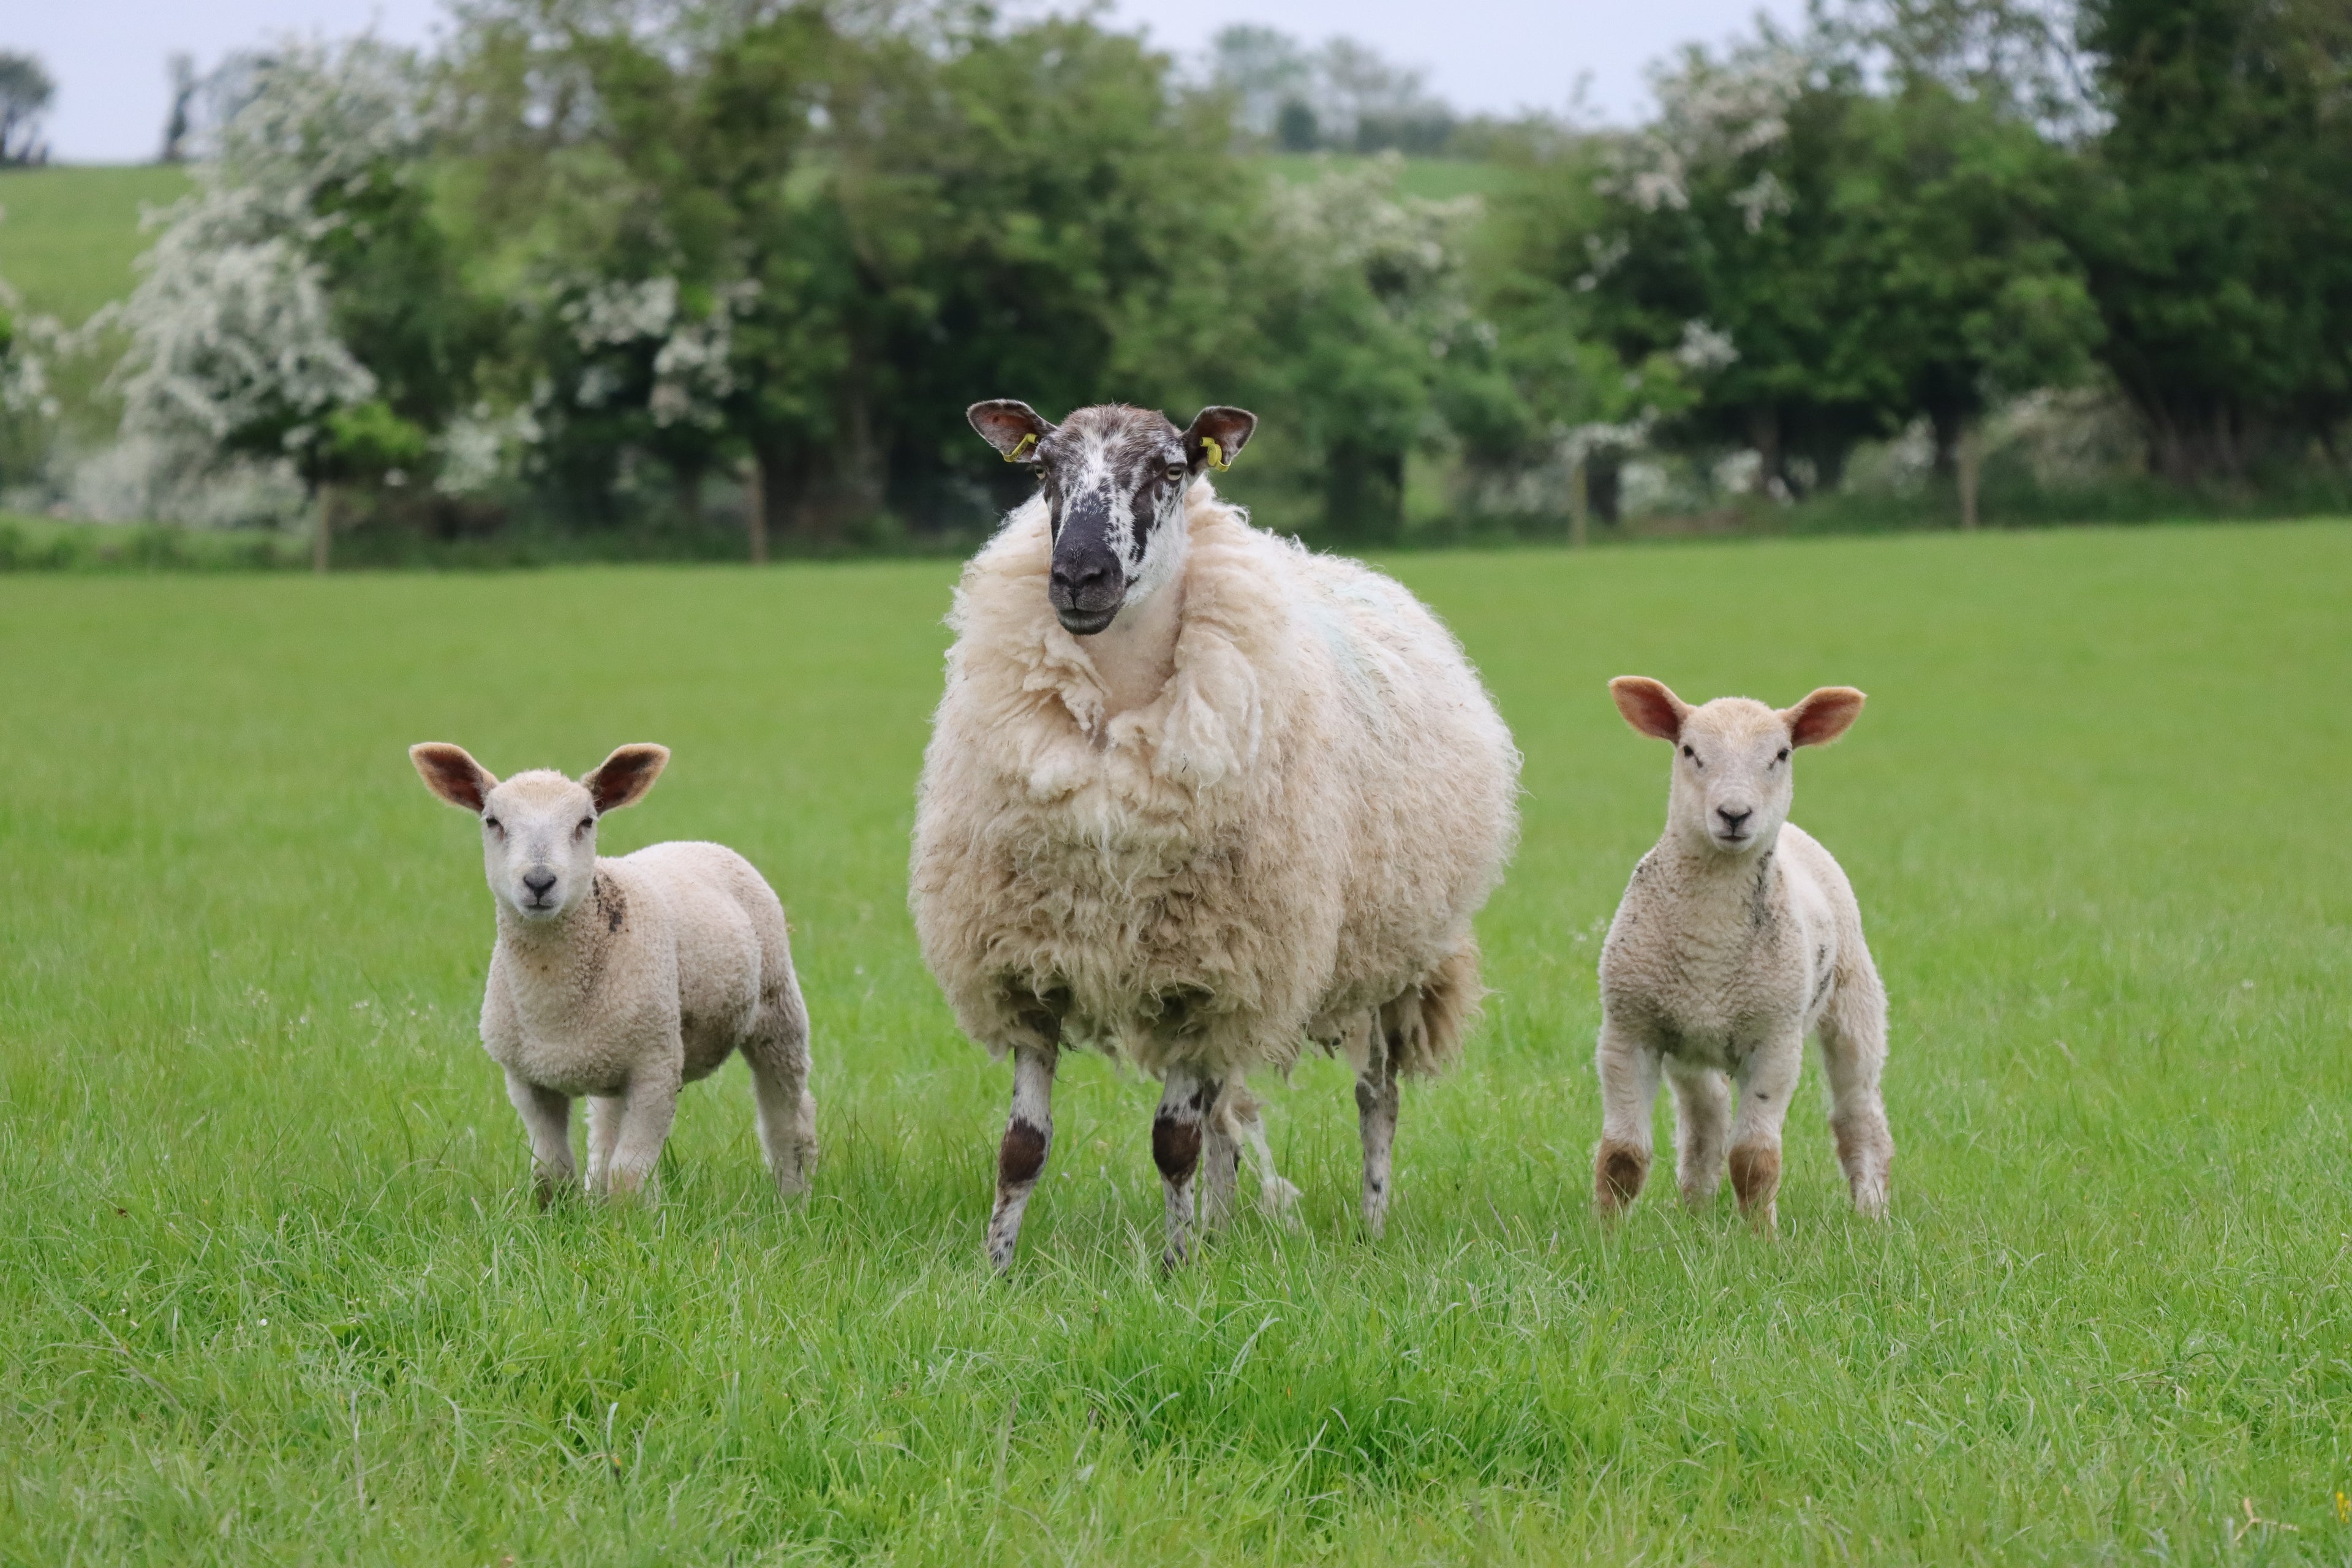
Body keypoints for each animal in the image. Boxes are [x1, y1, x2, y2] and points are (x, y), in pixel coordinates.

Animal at [399, 747, 813, 1204]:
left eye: (586, 822)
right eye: (493, 821)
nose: (539, 881)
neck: (553, 1005)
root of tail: (698, 843)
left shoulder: (657, 1067)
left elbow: (629, 1176)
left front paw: (632, 1220)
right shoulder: (527, 1079)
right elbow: (551, 1173)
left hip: (777, 1007)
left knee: (788, 1116)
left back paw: (793, 1198)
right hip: (614, 1054)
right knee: (604, 1131)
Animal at [898, 399, 1524, 1269]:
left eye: (1170, 469)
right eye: (1042, 469)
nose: (1079, 578)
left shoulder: (1204, 968)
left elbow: (1172, 1142)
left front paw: (1172, 1271)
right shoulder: (1031, 963)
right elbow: (1022, 1147)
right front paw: (997, 1270)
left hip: (1382, 957)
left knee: (1376, 1096)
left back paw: (1369, 1224)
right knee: (1227, 1105)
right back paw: (1222, 1227)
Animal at [1580, 682, 1891, 1232]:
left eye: (1782, 755)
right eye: (1689, 751)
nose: (1734, 815)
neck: (1711, 944)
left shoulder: (1775, 1041)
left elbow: (1754, 1159)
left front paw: (1761, 1238)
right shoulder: (1628, 1031)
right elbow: (1622, 1155)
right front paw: (1606, 1236)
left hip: (1855, 1000)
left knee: (1859, 1112)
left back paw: (1872, 1212)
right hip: (1690, 1044)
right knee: (1705, 1116)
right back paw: (1695, 1210)